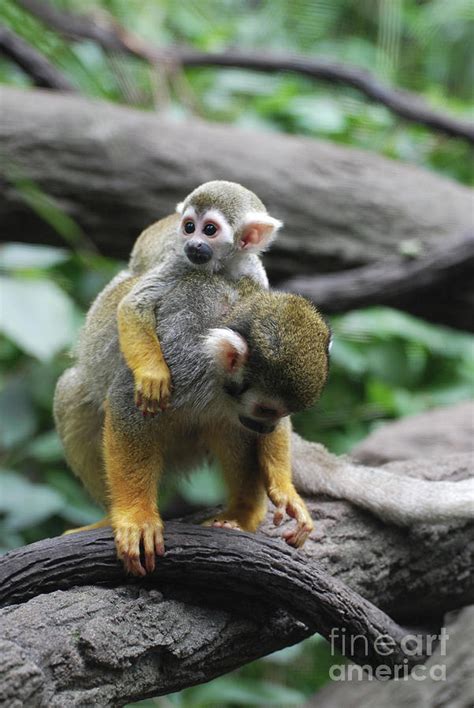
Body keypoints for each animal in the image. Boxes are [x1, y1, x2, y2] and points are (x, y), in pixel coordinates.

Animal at [118, 180, 282, 414]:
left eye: (209, 229)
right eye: (189, 227)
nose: (193, 244)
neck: (223, 266)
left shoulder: (253, 269)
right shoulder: (180, 262)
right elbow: (134, 304)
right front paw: (153, 374)